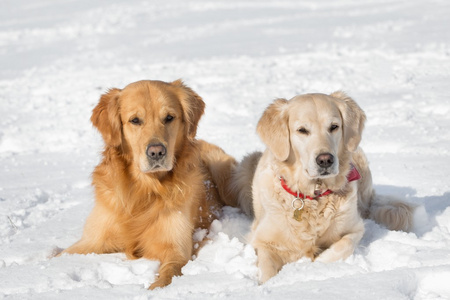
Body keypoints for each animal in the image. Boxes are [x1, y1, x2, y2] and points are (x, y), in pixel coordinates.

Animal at [61, 79, 241, 288]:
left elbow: (166, 277)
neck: (145, 189)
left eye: (169, 117)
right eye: (135, 120)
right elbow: (60, 254)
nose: (156, 152)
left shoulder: (176, 249)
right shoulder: (91, 241)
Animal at [234, 91, 416, 284]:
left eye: (334, 127)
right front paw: (269, 284)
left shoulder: (356, 227)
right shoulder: (261, 239)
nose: (325, 160)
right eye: (302, 130)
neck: (313, 195)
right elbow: (266, 267)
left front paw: (318, 263)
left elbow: (344, 244)